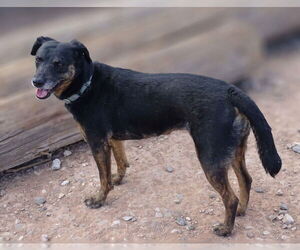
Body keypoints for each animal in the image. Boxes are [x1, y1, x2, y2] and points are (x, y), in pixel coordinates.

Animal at [31, 35, 282, 236]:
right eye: (38, 60)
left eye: (58, 63)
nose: (36, 81)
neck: (88, 82)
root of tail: (231, 91)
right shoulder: (113, 139)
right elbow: (120, 163)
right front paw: (117, 179)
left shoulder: (97, 141)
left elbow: (103, 177)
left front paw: (99, 199)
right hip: (234, 150)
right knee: (246, 180)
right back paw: (242, 211)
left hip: (211, 158)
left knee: (230, 198)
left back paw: (225, 229)